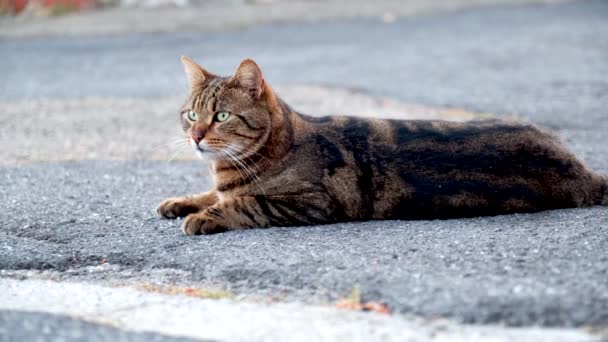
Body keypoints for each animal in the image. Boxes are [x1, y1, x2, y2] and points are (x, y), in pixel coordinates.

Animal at [158, 56, 608, 235]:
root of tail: (581, 169)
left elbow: (244, 203)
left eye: (222, 116)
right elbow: (211, 193)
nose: (196, 137)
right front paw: (180, 201)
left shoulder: (311, 202)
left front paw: (204, 215)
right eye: (191, 114)